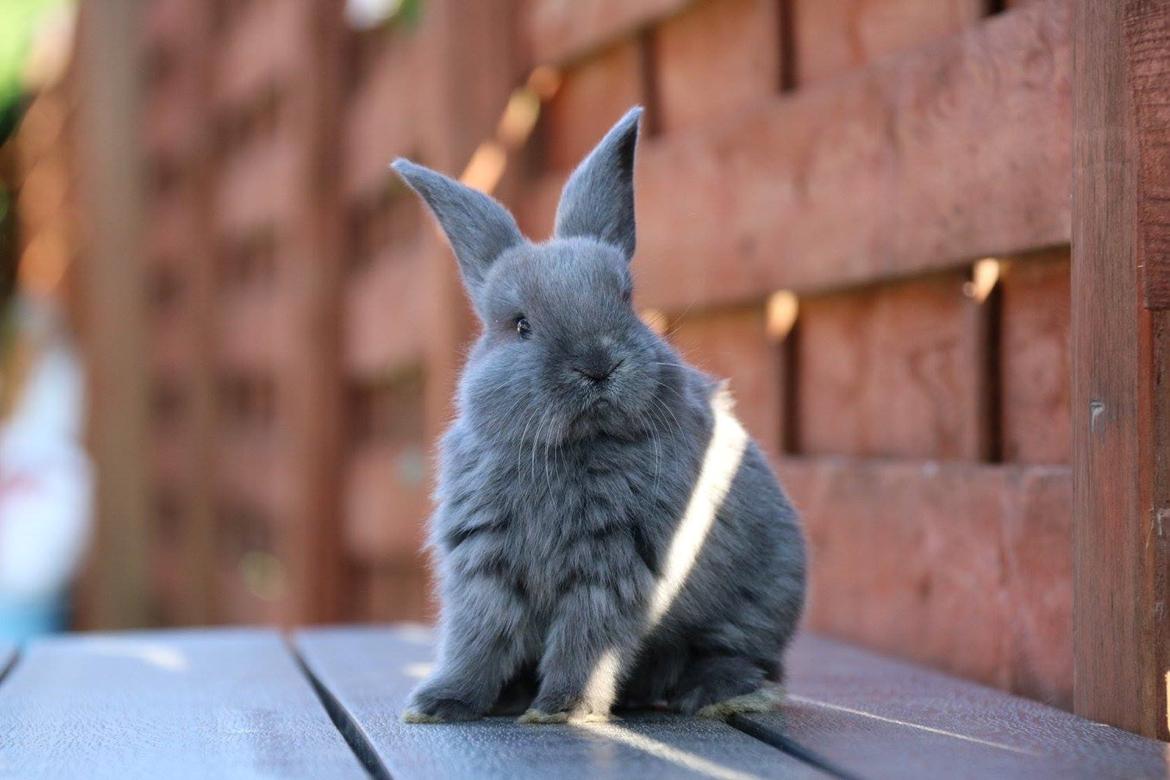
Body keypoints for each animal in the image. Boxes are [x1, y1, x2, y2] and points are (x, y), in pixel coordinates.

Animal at [393, 105, 804, 725]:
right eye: (519, 325)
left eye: (625, 300)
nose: (597, 364)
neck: (571, 449)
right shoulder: (483, 565)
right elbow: (478, 638)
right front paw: (440, 703)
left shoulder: (614, 566)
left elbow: (586, 639)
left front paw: (560, 709)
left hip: (759, 600)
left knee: (743, 657)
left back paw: (717, 693)